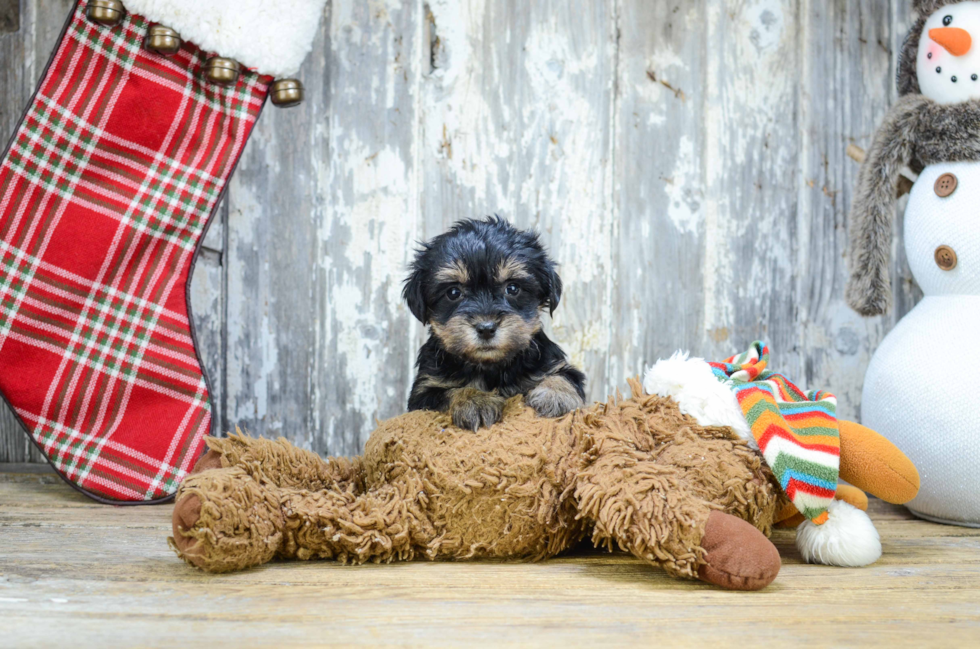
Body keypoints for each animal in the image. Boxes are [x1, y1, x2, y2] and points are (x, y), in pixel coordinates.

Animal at [402, 216, 584, 430]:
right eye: (453, 292)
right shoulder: (424, 391)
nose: (486, 329)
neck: (490, 367)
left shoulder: (553, 364)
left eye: (512, 288)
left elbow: (563, 376)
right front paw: (475, 400)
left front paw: (556, 395)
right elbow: (451, 391)